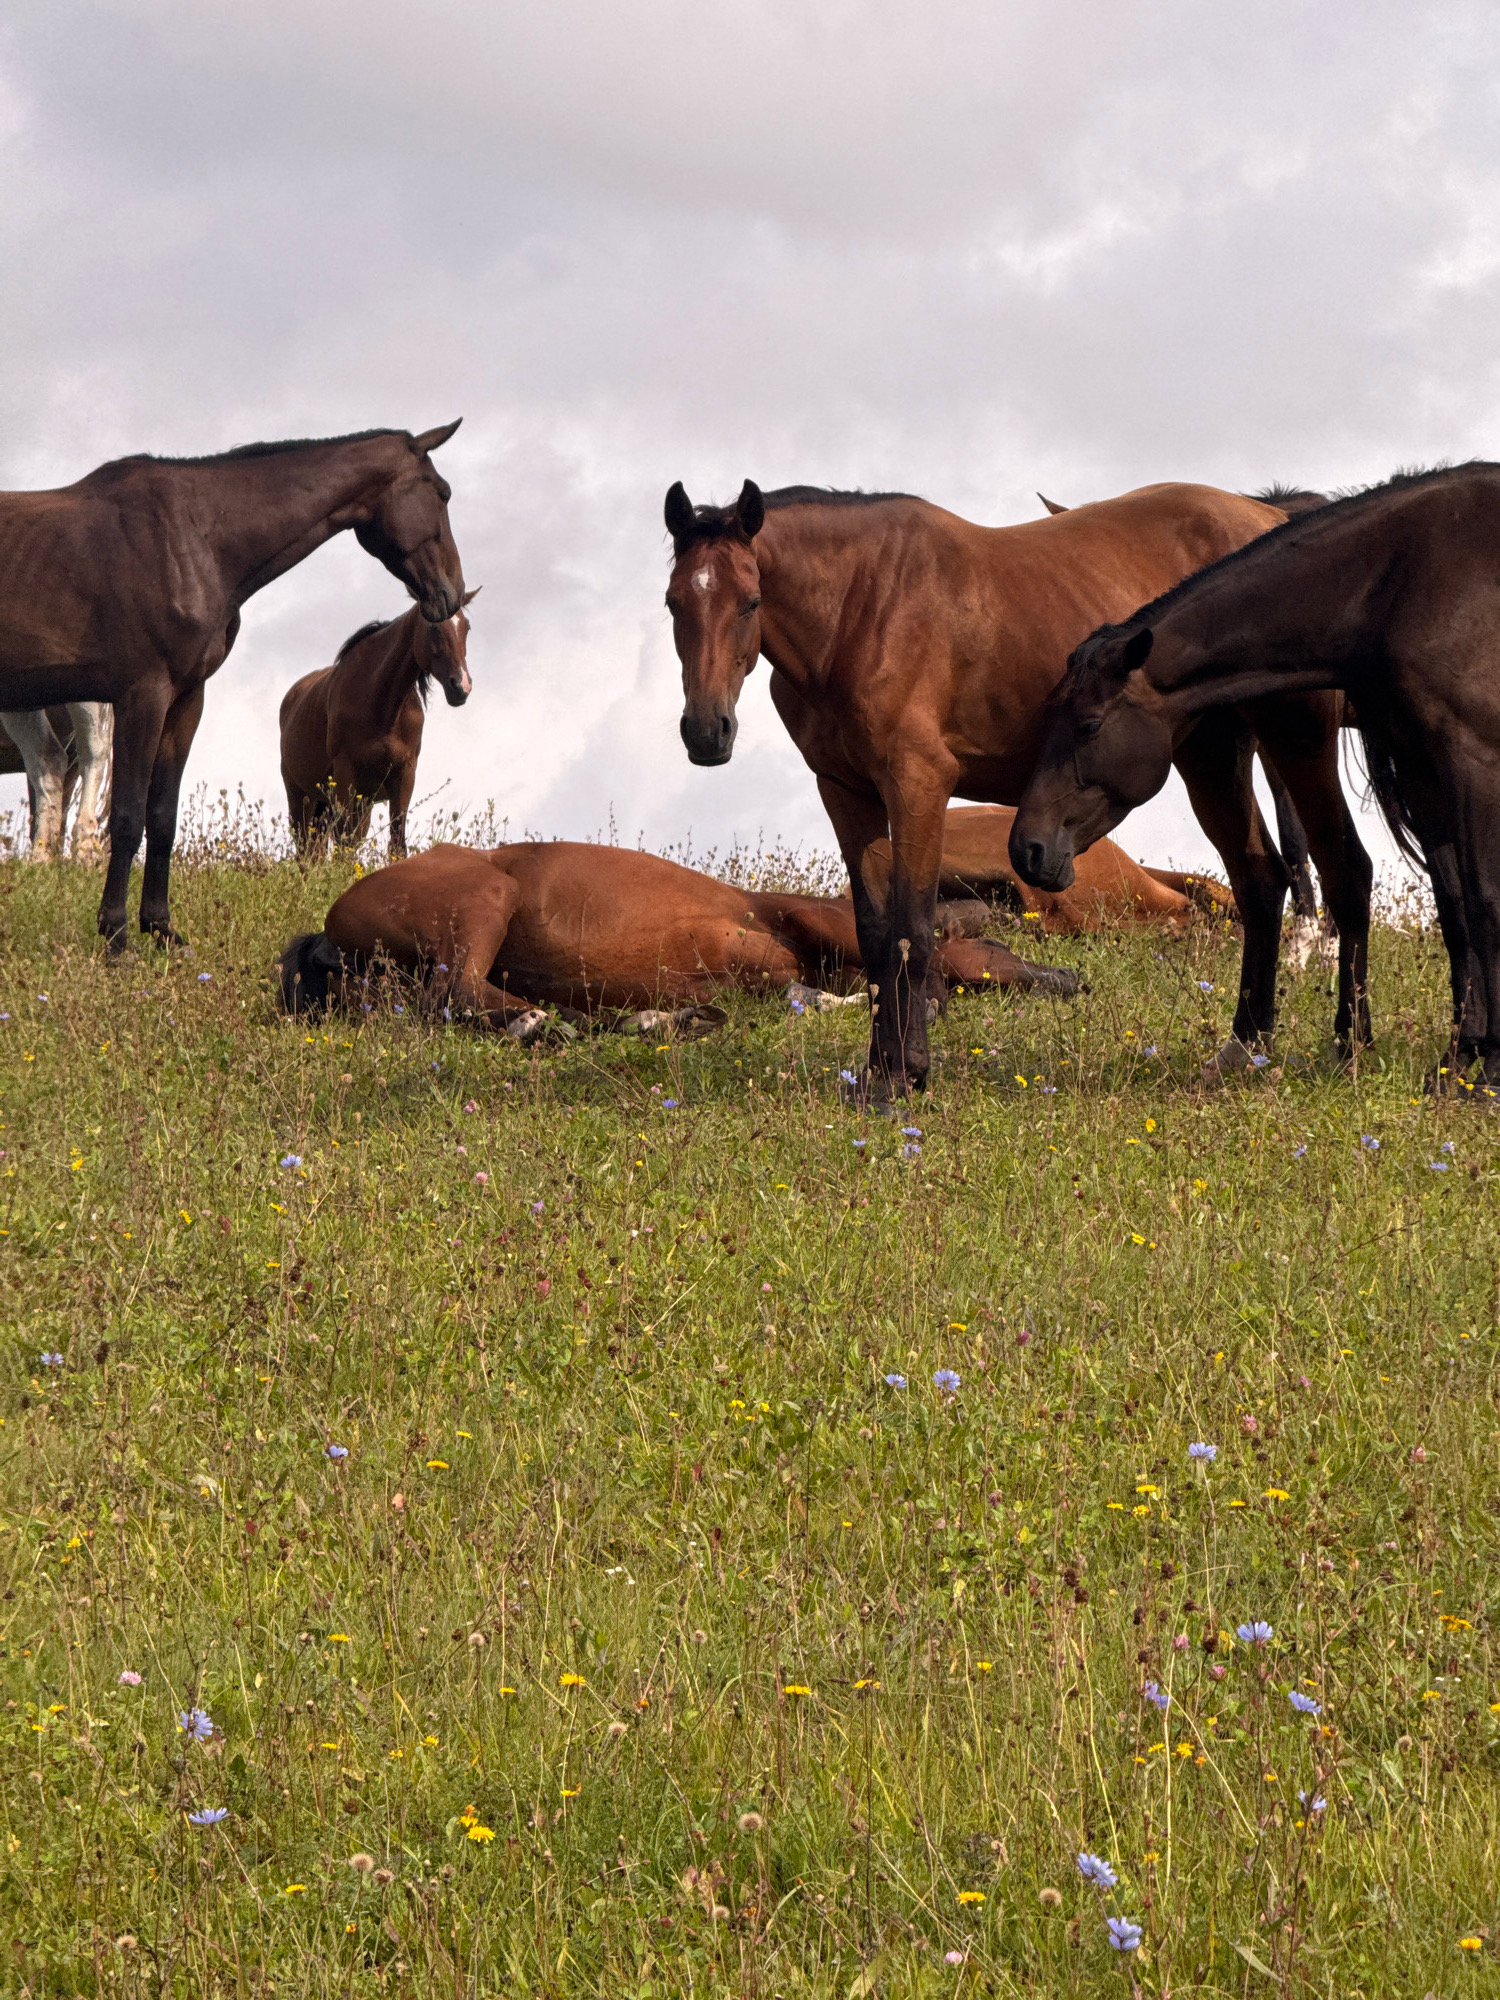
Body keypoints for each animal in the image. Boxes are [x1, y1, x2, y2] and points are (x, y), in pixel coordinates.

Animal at [279, 594, 478, 859]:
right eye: (433, 627)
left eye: (466, 627)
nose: (461, 686)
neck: (382, 707)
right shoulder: (345, 773)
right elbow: (343, 844)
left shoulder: (404, 775)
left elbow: (396, 842)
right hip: (301, 796)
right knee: (306, 849)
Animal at [663, 478, 1370, 1097]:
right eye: (674, 603)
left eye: (750, 602)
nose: (706, 732)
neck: (861, 613)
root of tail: (1271, 518)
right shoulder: (845, 791)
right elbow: (873, 933)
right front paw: (878, 1072)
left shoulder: (919, 786)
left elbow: (911, 930)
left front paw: (903, 1076)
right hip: (1212, 755)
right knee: (1260, 882)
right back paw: (1245, 1047)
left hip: (1285, 743)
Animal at [1010, 462, 1500, 1090]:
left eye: (1090, 725)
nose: (1027, 848)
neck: (1399, 580)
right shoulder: (1418, 760)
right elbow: (1453, 899)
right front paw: (1461, 1054)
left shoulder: (1466, 759)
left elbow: (1481, 901)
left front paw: (1485, 1066)